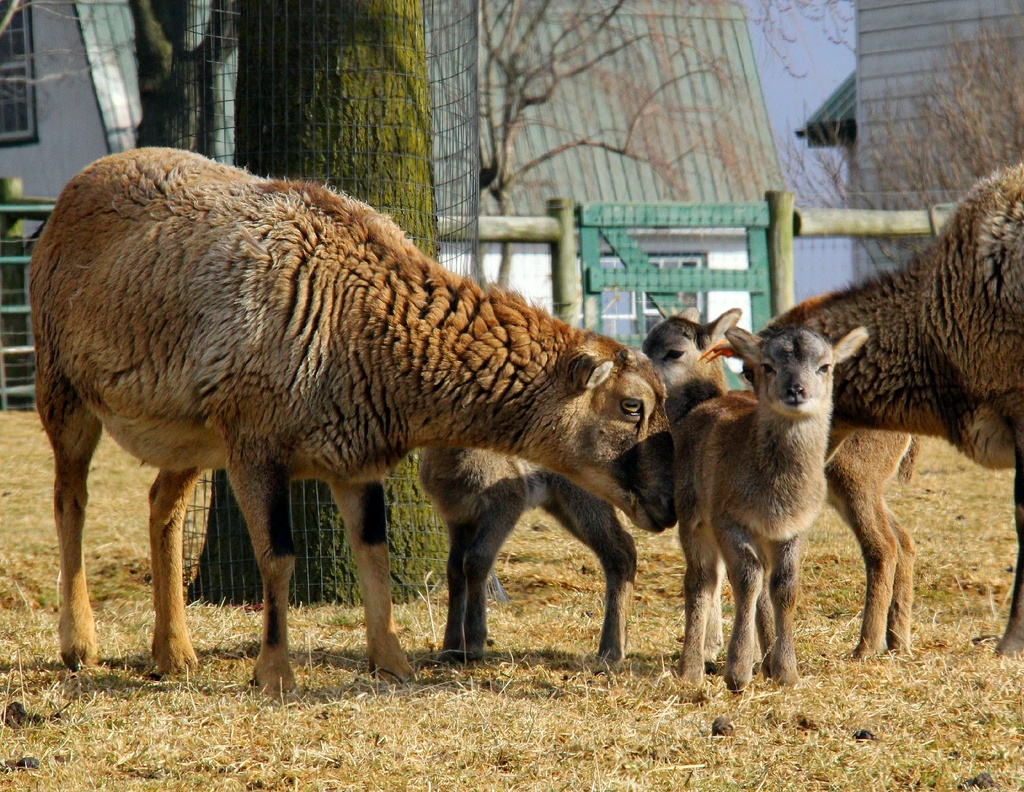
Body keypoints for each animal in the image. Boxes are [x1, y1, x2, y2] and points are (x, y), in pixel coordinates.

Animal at [28, 146, 675, 692]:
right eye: (632, 406)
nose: (667, 507)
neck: (362, 318)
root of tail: (70, 192)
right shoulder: (256, 445)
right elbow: (279, 557)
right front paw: (275, 674)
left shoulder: (355, 457)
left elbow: (374, 552)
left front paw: (393, 663)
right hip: (62, 385)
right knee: (69, 498)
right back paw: (79, 645)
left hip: (193, 434)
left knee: (163, 507)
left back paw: (174, 655)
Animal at [417, 307, 745, 659]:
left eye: (674, 352)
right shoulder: (455, 514)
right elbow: (454, 568)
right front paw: (449, 648)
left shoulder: (507, 500)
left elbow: (476, 561)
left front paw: (474, 645)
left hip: (586, 498)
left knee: (622, 550)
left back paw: (611, 650)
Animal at [675, 323, 868, 688]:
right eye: (768, 366)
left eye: (825, 366)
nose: (796, 390)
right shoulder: (728, 517)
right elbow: (746, 578)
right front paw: (736, 673)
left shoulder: (796, 526)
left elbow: (785, 586)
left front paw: (787, 671)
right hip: (691, 513)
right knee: (701, 580)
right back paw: (691, 670)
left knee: (761, 583)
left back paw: (763, 661)